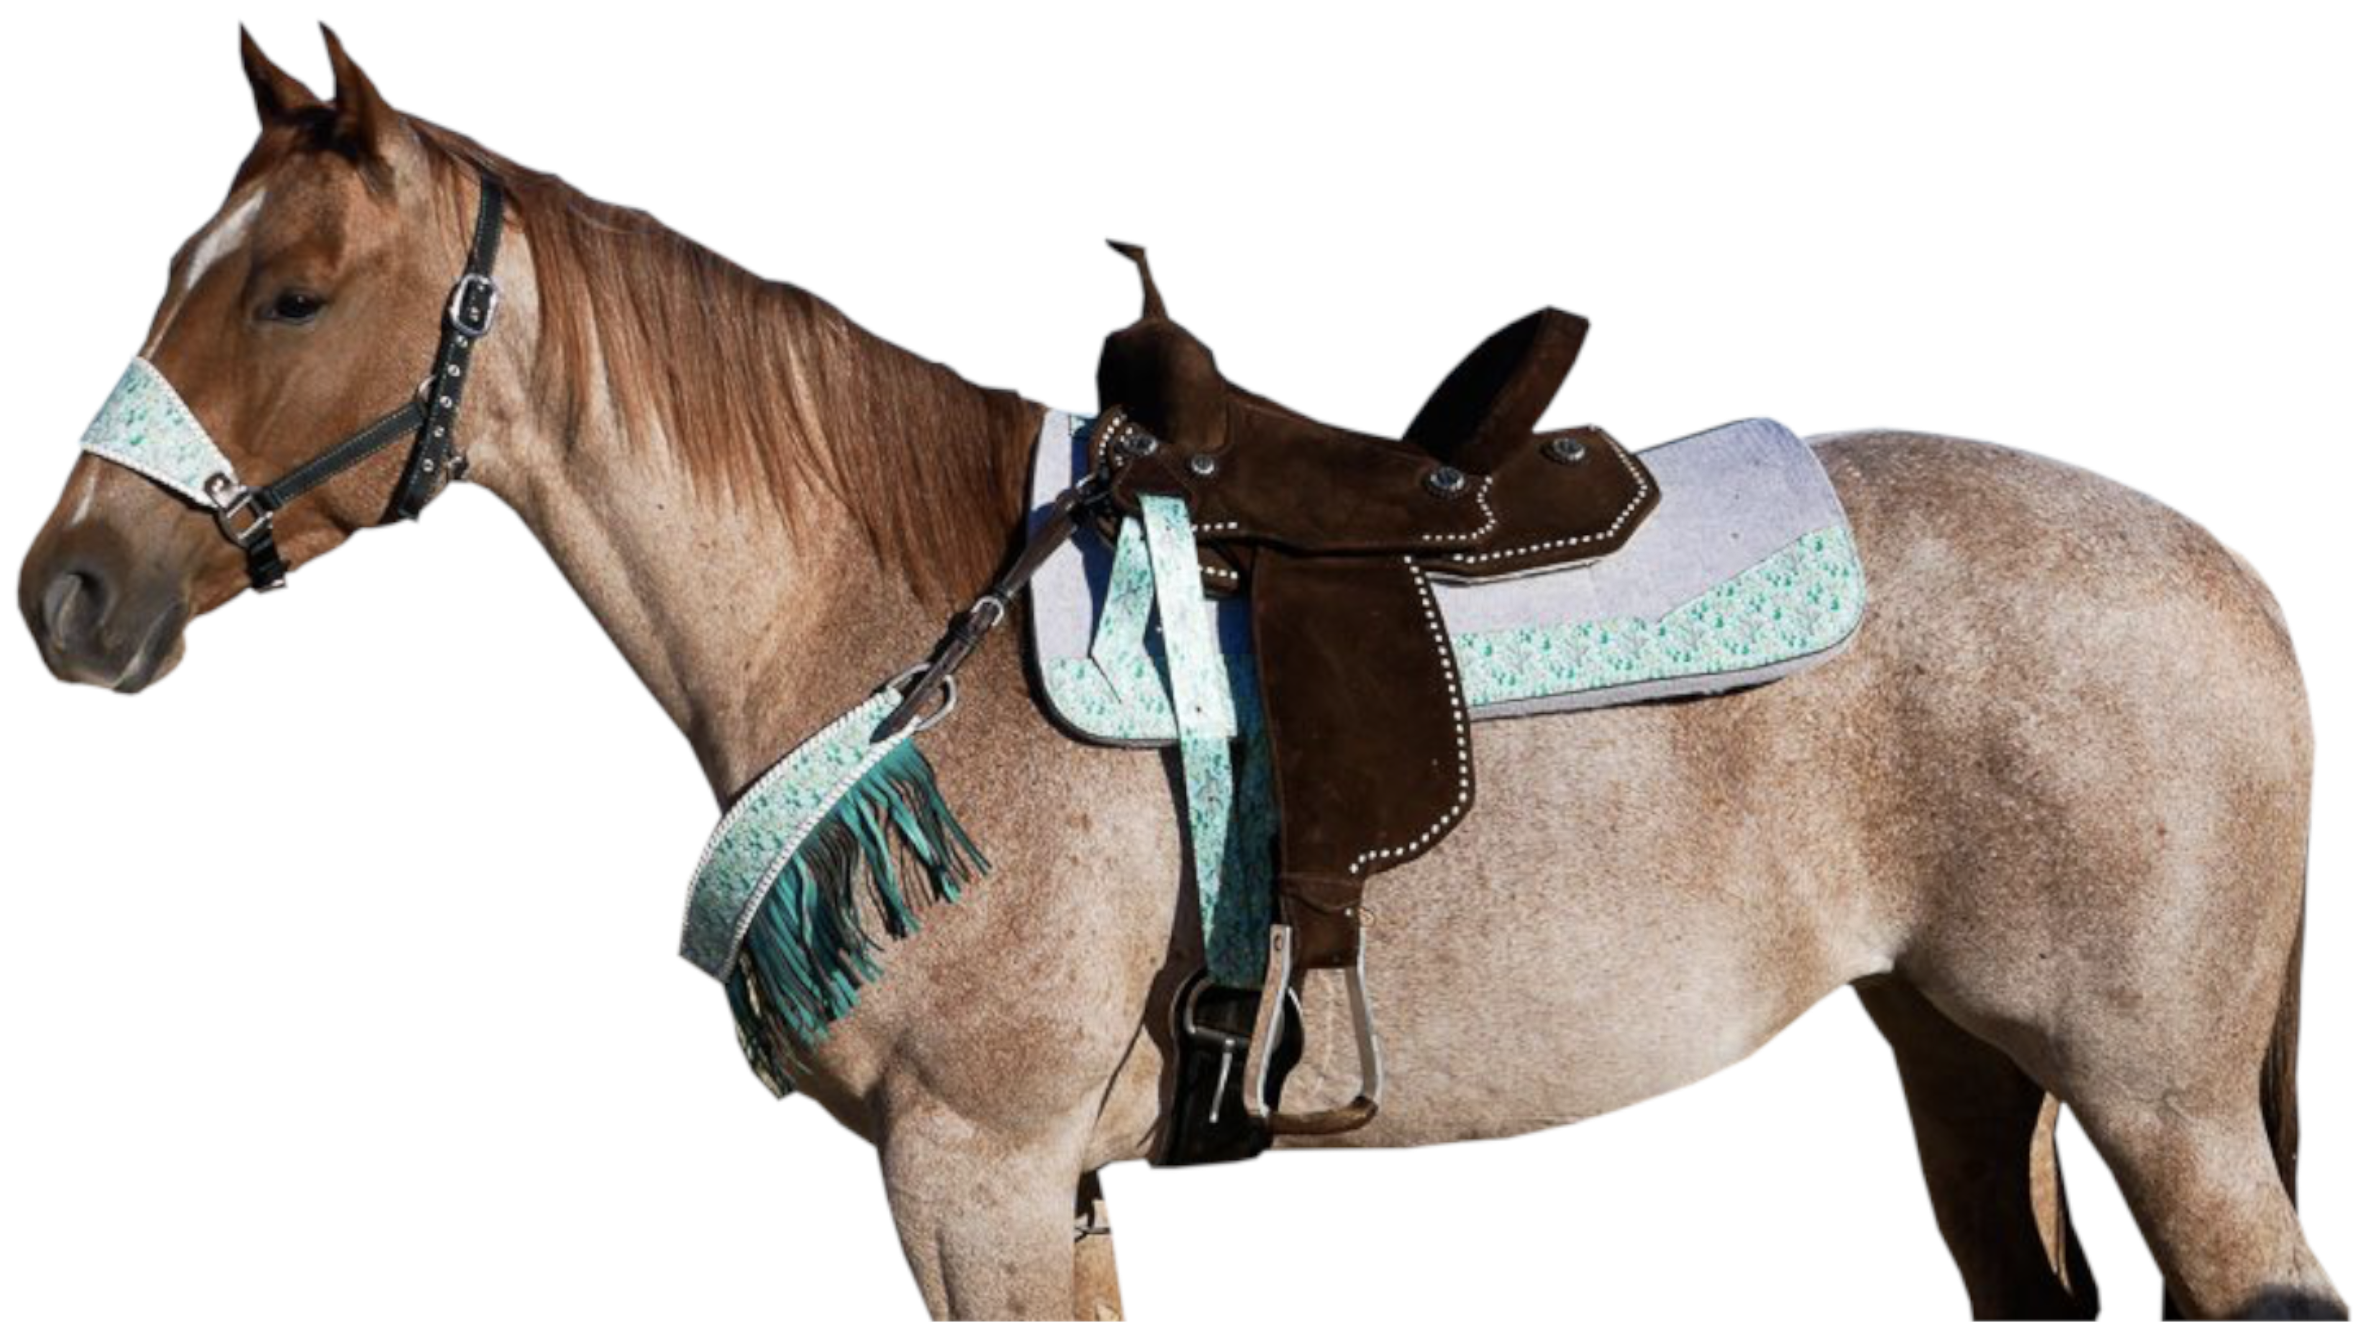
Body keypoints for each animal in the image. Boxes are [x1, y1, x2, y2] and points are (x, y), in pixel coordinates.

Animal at [17, 29, 2342, 1320]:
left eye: (295, 293)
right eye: (178, 271)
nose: (70, 592)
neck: (893, 617)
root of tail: (2236, 579)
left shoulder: (968, 1169)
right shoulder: (1046, 1181)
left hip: (2161, 1099)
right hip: (1964, 1053)